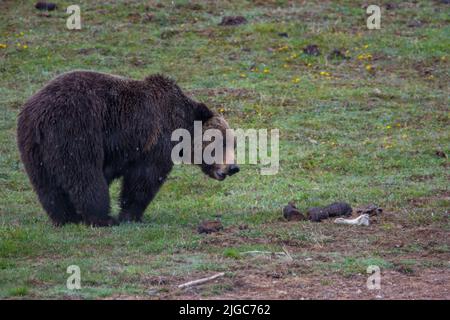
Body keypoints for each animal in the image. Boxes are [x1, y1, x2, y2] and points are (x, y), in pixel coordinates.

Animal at [16, 70, 239, 225]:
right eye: (220, 142)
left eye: (233, 144)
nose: (233, 167)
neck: (181, 124)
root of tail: (39, 115)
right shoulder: (154, 143)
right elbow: (144, 179)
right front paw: (130, 215)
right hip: (76, 130)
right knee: (85, 175)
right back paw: (102, 218)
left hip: (32, 146)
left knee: (47, 185)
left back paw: (66, 218)